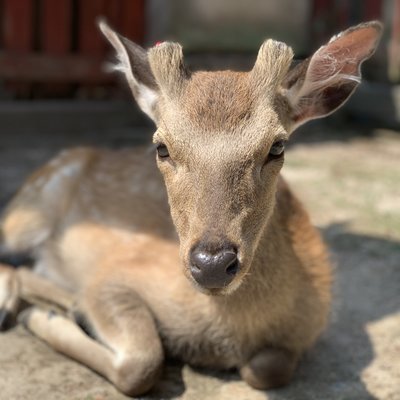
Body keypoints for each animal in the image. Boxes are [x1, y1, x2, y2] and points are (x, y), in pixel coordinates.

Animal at [0, 20, 382, 396]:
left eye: (277, 146)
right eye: (161, 147)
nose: (211, 264)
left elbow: (267, 368)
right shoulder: (111, 274)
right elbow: (142, 363)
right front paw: (44, 317)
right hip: (32, 208)